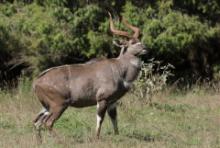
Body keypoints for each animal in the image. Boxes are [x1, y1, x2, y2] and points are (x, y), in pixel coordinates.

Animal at [32, 13, 146, 141]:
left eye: (140, 40)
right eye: (132, 42)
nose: (145, 48)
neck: (119, 69)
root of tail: (36, 82)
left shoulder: (112, 102)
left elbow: (114, 119)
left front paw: (117, 136)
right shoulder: (102, 99)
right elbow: (100, 119)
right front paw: (96, 138)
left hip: (47, 107)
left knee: (37, 122)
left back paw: (40, 142)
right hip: (59, 104)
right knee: (48, 122)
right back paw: (62, 141)